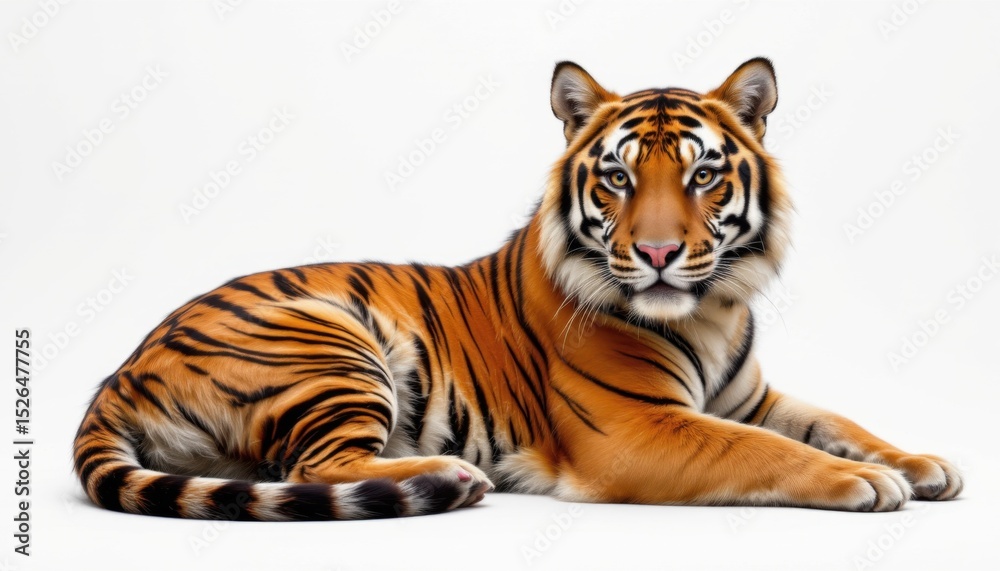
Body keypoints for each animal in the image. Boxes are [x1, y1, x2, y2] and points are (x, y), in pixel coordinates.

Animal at [73, 57, 963, 521]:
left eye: (703, 175)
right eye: (618, 177)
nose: (659, 251)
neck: (711, 310)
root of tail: (119, 372)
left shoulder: (749, 395)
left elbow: (836, 420)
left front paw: (921, 462)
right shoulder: (637, 430)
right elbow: (764, 449)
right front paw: (866, 482)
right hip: (331, 343)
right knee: (316, 466)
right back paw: (453, 475)